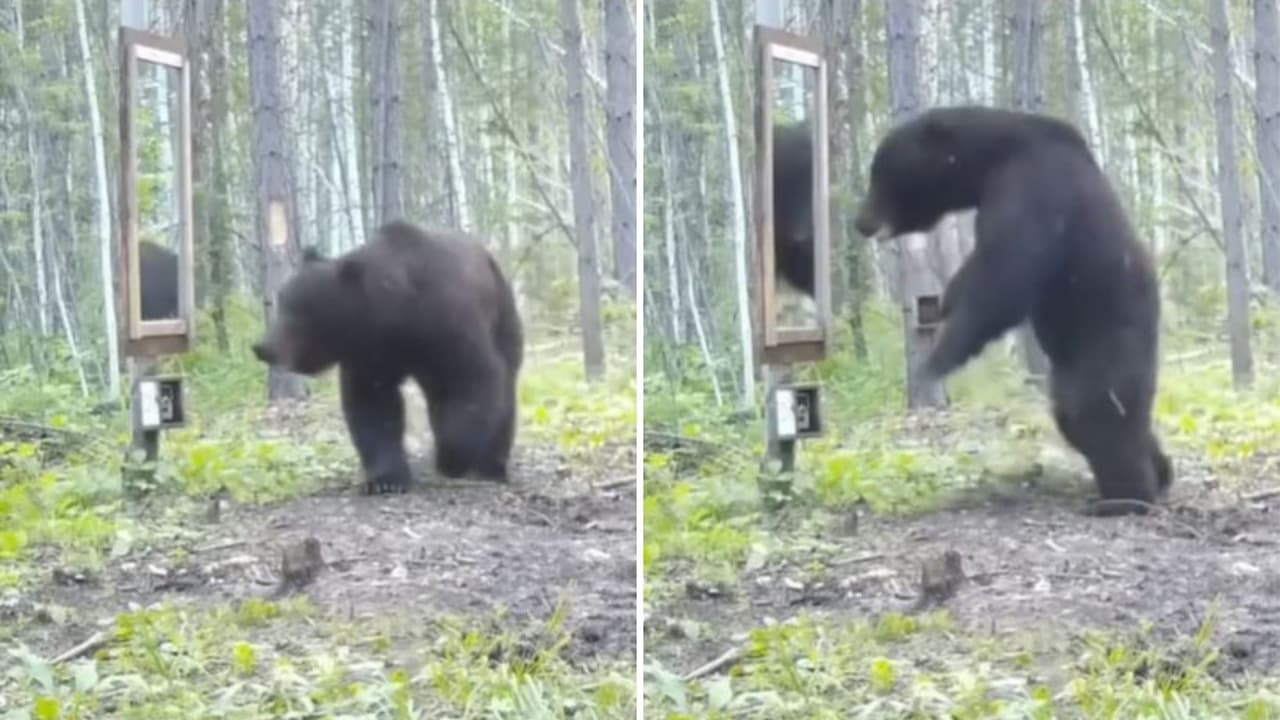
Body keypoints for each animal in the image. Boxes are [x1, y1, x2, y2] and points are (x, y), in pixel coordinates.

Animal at [251, 219, 524, 495]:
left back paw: (492, 465)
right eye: (281, 302)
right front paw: (385, 479)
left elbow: (474, 379)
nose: (263, 347)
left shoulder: (447, 323)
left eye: (298, 311)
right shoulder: (372, 353)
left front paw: (453, 457)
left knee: (503, 389)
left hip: (503, 317)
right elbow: (373, 404)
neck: (397, 315)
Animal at [851, 105, 1171, 516]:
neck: (992, 158)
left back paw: (1125, 499)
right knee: (1083, 417)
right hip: (1071, 366)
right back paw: (1159, 473)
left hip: (1109, 338)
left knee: (1098, 410)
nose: (860, 221)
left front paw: (937, 359)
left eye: (880, 174)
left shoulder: (1033, 186)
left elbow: (1005, 274)